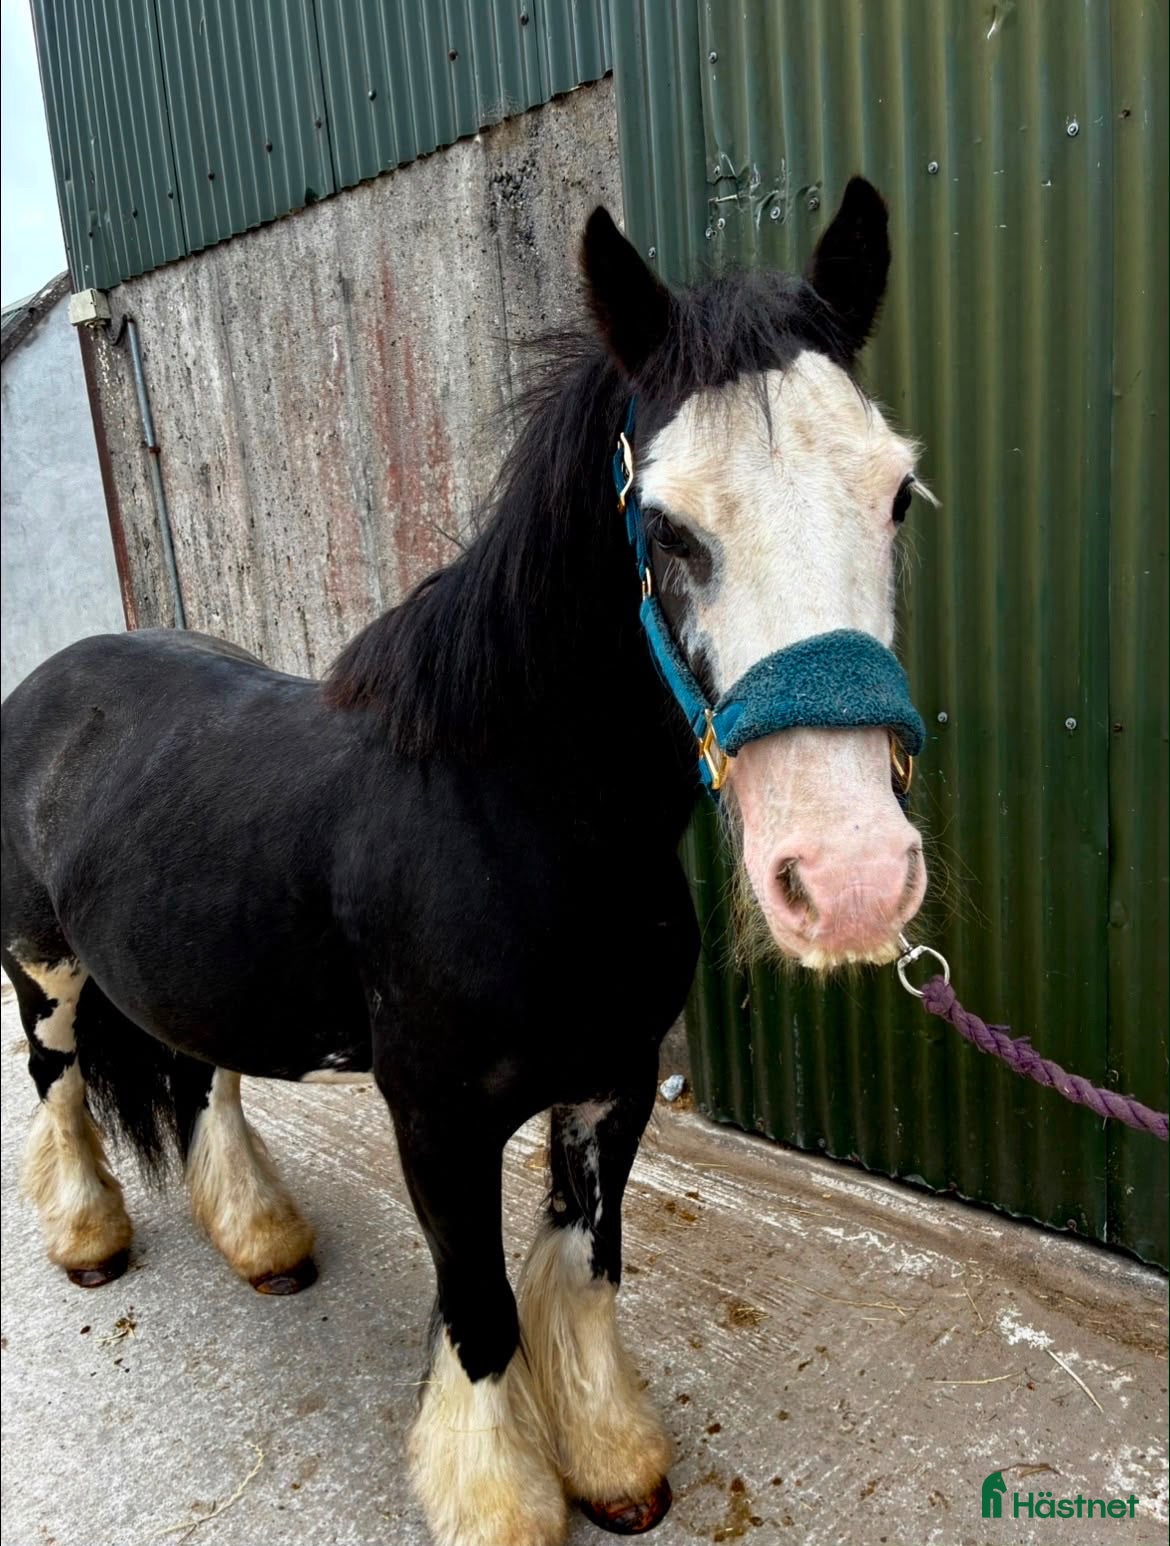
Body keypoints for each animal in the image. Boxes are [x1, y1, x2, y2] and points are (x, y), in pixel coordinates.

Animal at [1, 177, 930, 1545]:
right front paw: (502, 1502)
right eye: (667, 526)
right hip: (47, 970)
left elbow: (582, 1271)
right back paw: (87, 1239)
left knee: (207, 1079)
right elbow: (483, 1311)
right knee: (57, 1082)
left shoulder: (612, 1088)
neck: (518, 817)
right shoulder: (436, 1122)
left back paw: (265, 1241)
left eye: (897, 494)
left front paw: (609, 1459)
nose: (852, 874)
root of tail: (50, 681)